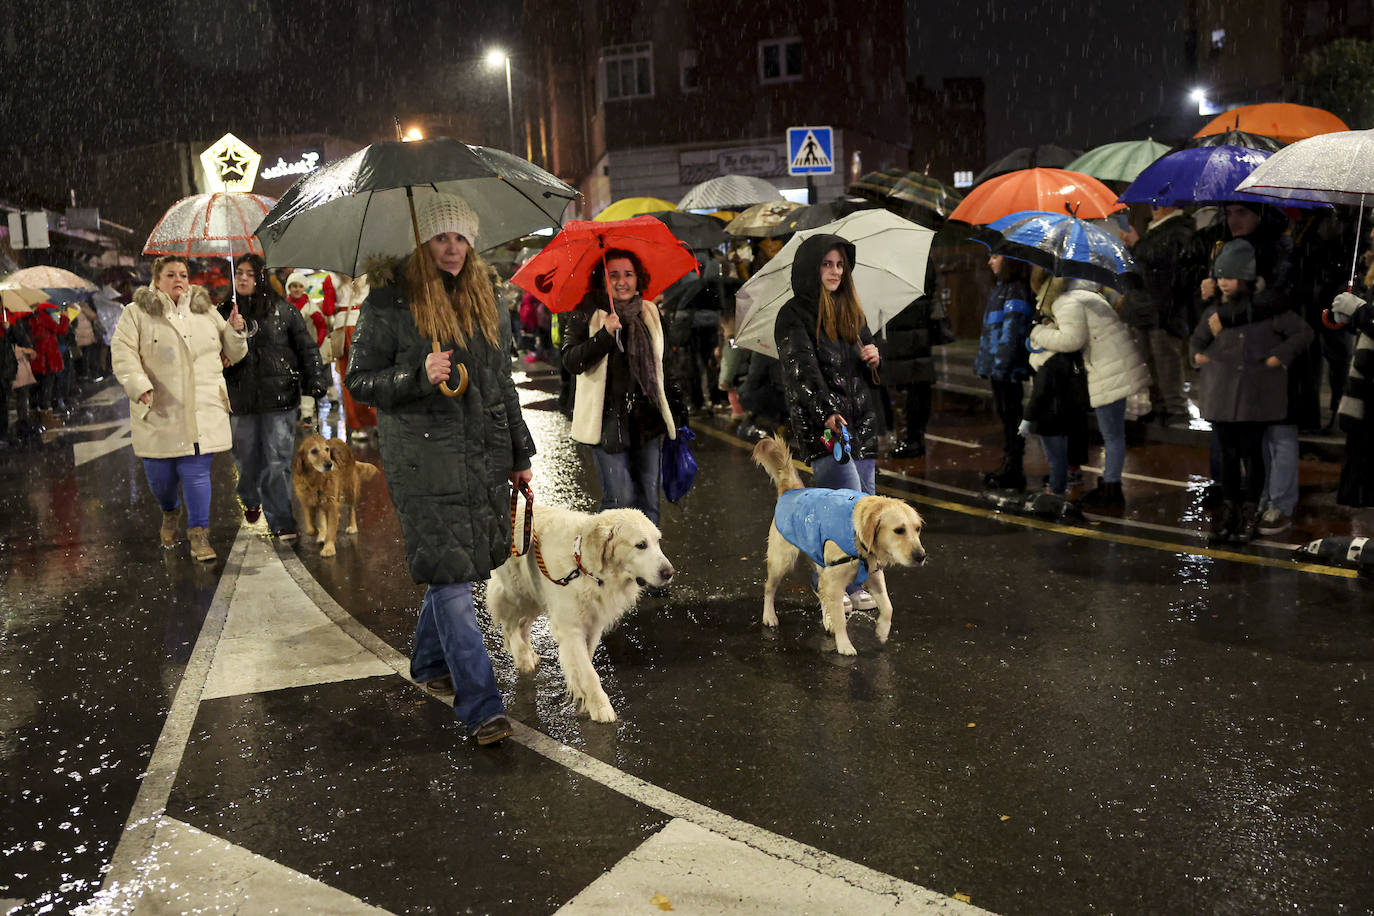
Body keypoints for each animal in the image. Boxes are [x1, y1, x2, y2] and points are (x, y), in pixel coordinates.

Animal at [486, 505, 673, 719]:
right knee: (509, 625)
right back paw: (523, 657)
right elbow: (589, 672)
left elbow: (586, 661)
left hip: (535, 596)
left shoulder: (594, 626)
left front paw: (583, 695)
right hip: (517, 592)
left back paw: (530, 654)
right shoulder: (571, 629)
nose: (670, 573)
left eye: (657, 541)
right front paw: (600, 707)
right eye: (641, 545)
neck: (587, 571)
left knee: (522, 624)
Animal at [752, 436, 934, 656]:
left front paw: (882, 631)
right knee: (769, 588)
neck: (858, 536)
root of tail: (792, 490)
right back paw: (769, 616)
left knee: (821, 592)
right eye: (899, 530)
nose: (921, 556)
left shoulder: (873, 576)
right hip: (782, 561)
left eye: (917, 529)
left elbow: (888, 607)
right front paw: (845, 645)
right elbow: (840, 618)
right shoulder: (835, 581)